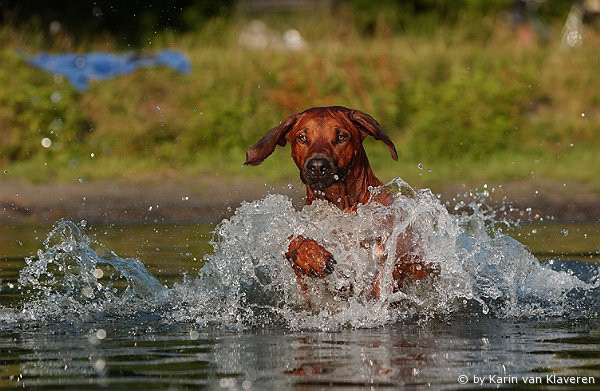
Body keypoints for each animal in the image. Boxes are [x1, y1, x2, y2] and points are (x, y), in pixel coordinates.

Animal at [244, 105, 432, 296]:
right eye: (302, 138)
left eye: (341, 137)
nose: (317, 166)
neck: (340, 205)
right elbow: (292, 240)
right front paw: (312, 256)